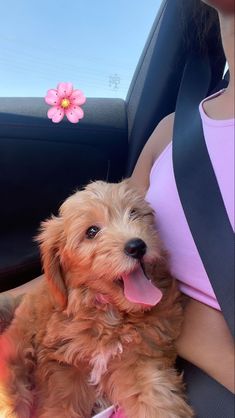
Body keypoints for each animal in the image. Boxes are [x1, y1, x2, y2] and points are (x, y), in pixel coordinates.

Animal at [0, 180, 194, 418]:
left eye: (134, 213)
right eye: (92, 231)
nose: (137, 246)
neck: (108, 313)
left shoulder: (139, 358)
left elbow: (155, 396)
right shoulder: (64, 368)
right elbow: (61, 405)